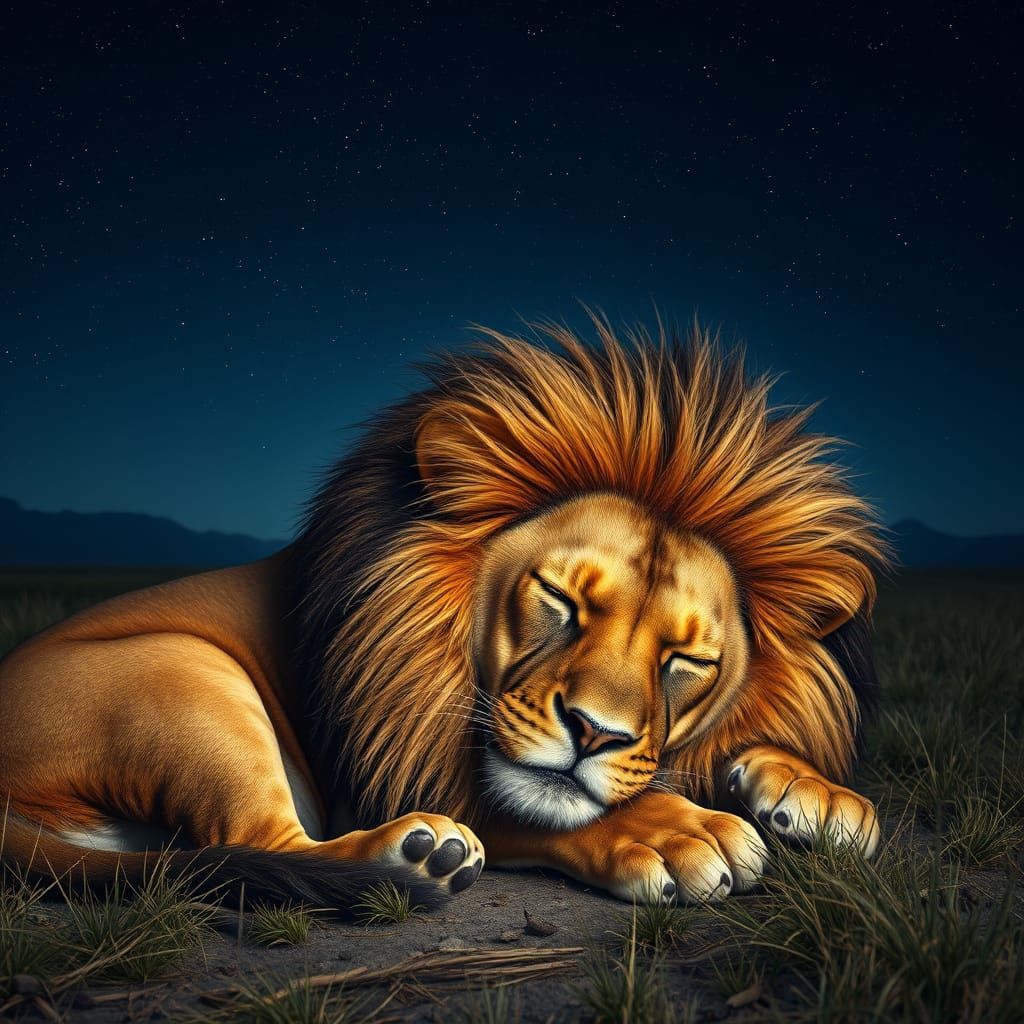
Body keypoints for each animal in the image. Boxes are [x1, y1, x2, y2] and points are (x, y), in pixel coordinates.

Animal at [0, 314, 886, 908]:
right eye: (559, 600)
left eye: (687, 662)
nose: (593, 733)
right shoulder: (385, 762)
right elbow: (538, 807)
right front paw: (674, 832)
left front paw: (817, 795)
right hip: (188, 674)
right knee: (257, 840)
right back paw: (414, 859)